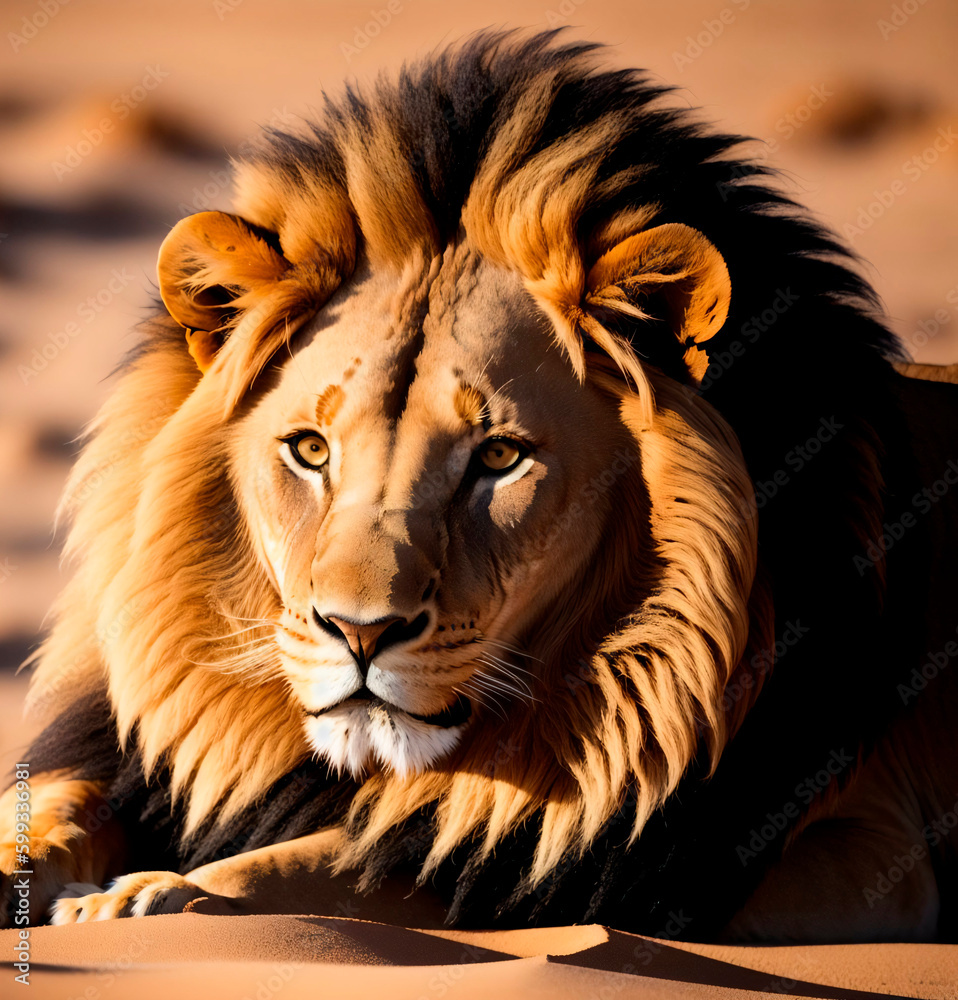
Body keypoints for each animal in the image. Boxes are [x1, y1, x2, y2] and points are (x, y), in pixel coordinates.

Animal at [2, 31, 957, 943]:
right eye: (310, 450)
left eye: (498, 458)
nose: (359, 633)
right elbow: (56, 809)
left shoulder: (862, 848)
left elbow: (332, 862)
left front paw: (137, 898)